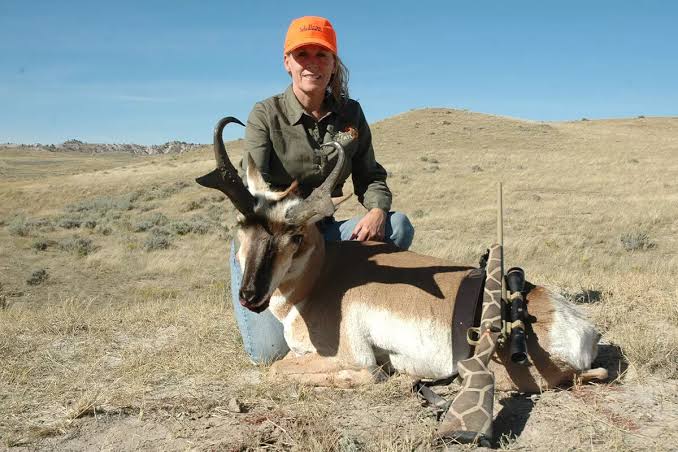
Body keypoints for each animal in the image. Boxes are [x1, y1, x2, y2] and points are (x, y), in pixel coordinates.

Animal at [197, 117, 607, 393]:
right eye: (240, 224)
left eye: (295, 236)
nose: (249, 296)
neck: (320, 280)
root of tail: (575, 325)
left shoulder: (350, 355)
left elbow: (281, 369)